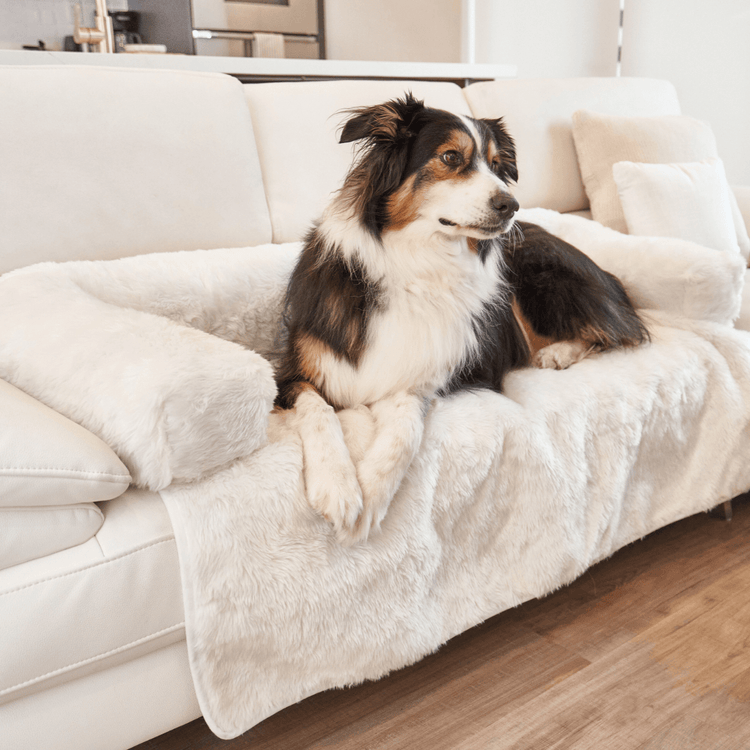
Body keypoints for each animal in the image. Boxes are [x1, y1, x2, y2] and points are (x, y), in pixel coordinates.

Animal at [274, 94, 648, 544]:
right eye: (451, 157)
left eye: (497, 164)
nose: (511, 205)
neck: (419, 264)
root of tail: (605, 275)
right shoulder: (293, 375)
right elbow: (319, 412)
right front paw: (340, 488)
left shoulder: (420, 376)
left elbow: (405, 432)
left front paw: (373, 490)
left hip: (534, 274)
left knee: (613, 331)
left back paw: (558, 353)